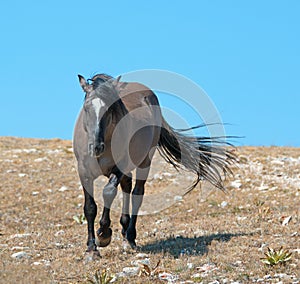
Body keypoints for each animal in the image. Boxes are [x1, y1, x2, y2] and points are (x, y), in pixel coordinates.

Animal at [73, 73, 237, 255]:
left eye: (110, 109)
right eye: (86, 108)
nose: (96, 147)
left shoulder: (120, 167)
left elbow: (108, 192)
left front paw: (104, 234)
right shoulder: (84, 172)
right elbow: (90, 208)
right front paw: (91, 249)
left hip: (144, 162)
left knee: (137, 193)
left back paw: (130, 237)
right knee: (127, 186)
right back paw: (124, 230)